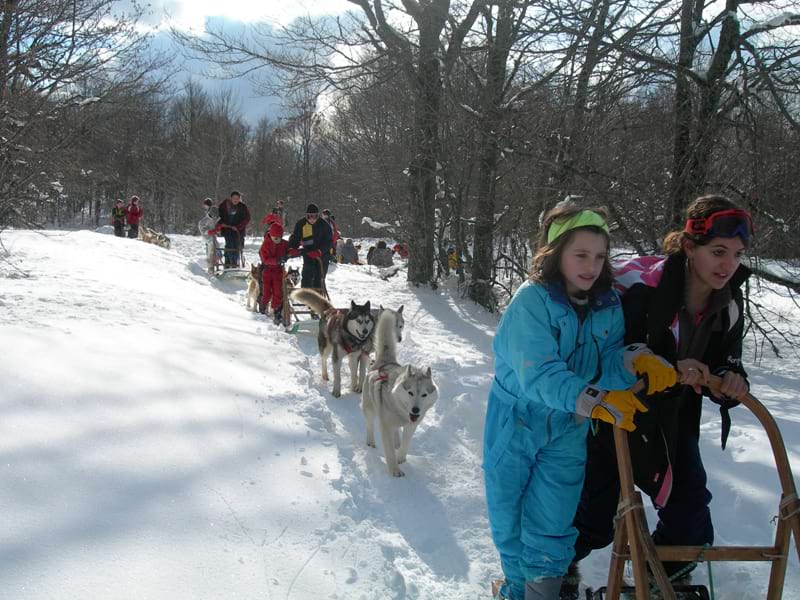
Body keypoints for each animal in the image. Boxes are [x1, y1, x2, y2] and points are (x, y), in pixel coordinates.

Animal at [362, 310, 438, 474]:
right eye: (410, 393)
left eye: (424, 395)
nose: (416, 410)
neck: (402, 413)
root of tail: (385, 362)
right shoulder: (385, 426)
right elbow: (389, 450)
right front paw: (395, 470)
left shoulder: (411, 426)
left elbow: (405, 444)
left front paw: (401, 458)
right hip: (369, 408)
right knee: (370, 425)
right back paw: (371, 442)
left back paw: (397, 440)